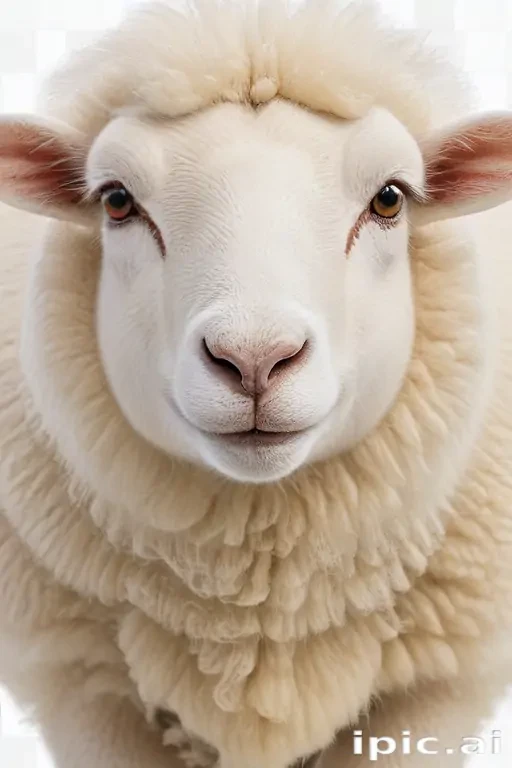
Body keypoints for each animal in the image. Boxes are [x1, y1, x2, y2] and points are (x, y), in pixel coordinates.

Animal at [1, 0, 512, 766]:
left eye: (390, 199)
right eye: (117, 201)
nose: (254, 359)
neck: (258, 609)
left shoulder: (432, 692)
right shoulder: (88, 690)